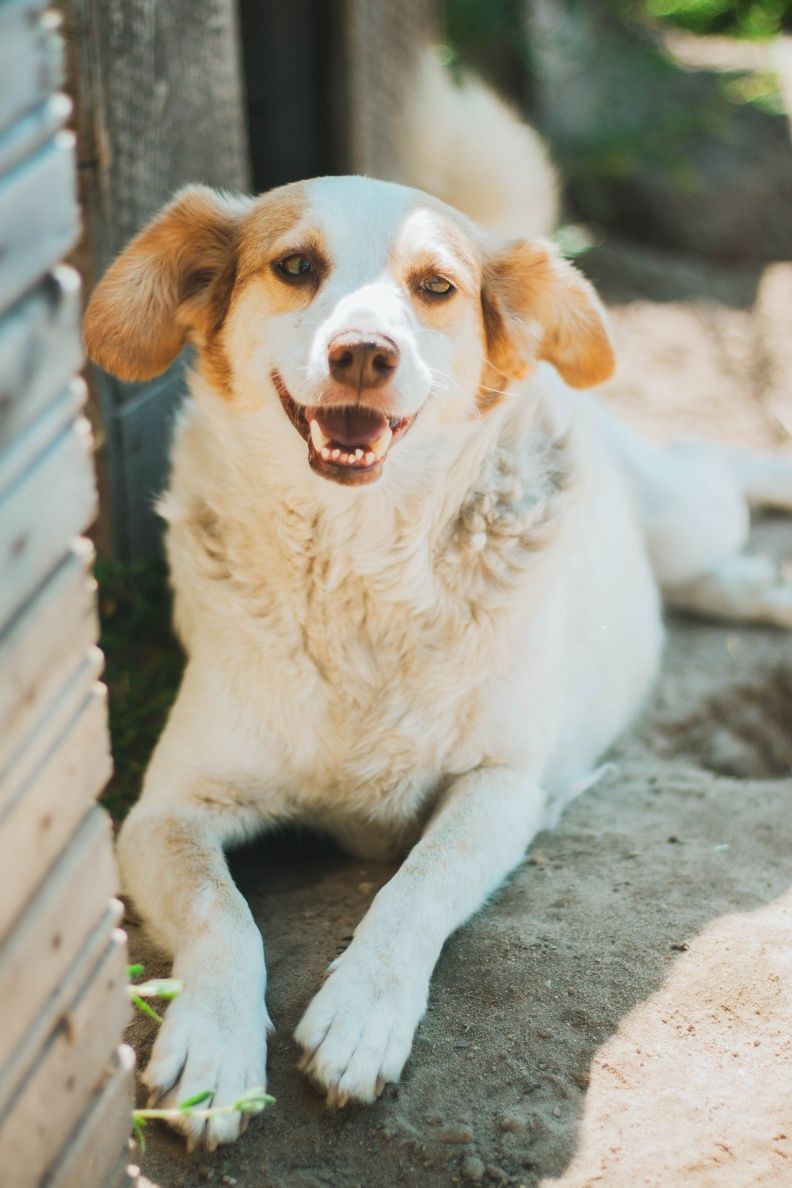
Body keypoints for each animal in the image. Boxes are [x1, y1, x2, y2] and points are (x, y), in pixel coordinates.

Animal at [83, 67, 792, 1149]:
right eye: (296, 266)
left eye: (436, 288)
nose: (364, 353)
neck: (359, 568)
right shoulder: (163, 811)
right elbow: (221, 916)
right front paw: (211, 1046)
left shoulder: (505, 784)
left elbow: (414, 888)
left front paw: (362, 1013)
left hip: (683, 511)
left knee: (711, 465)